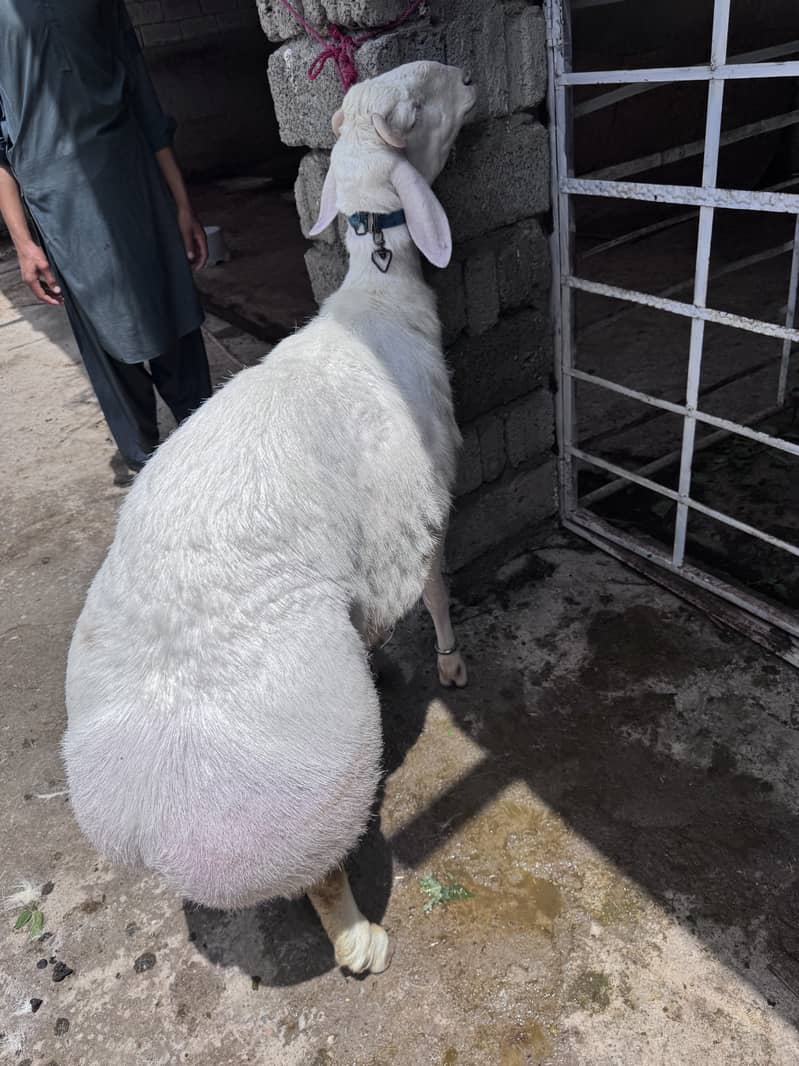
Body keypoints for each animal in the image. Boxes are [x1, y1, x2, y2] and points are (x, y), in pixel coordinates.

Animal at [63, 60, 476, 975]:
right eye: (420, 102)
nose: (468, 78)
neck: (378, 297)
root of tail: (141, 816)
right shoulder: (428, 496)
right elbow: (436, 586)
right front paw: (451, 659)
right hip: (304, 799)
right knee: (318, 876)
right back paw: (359, 940)